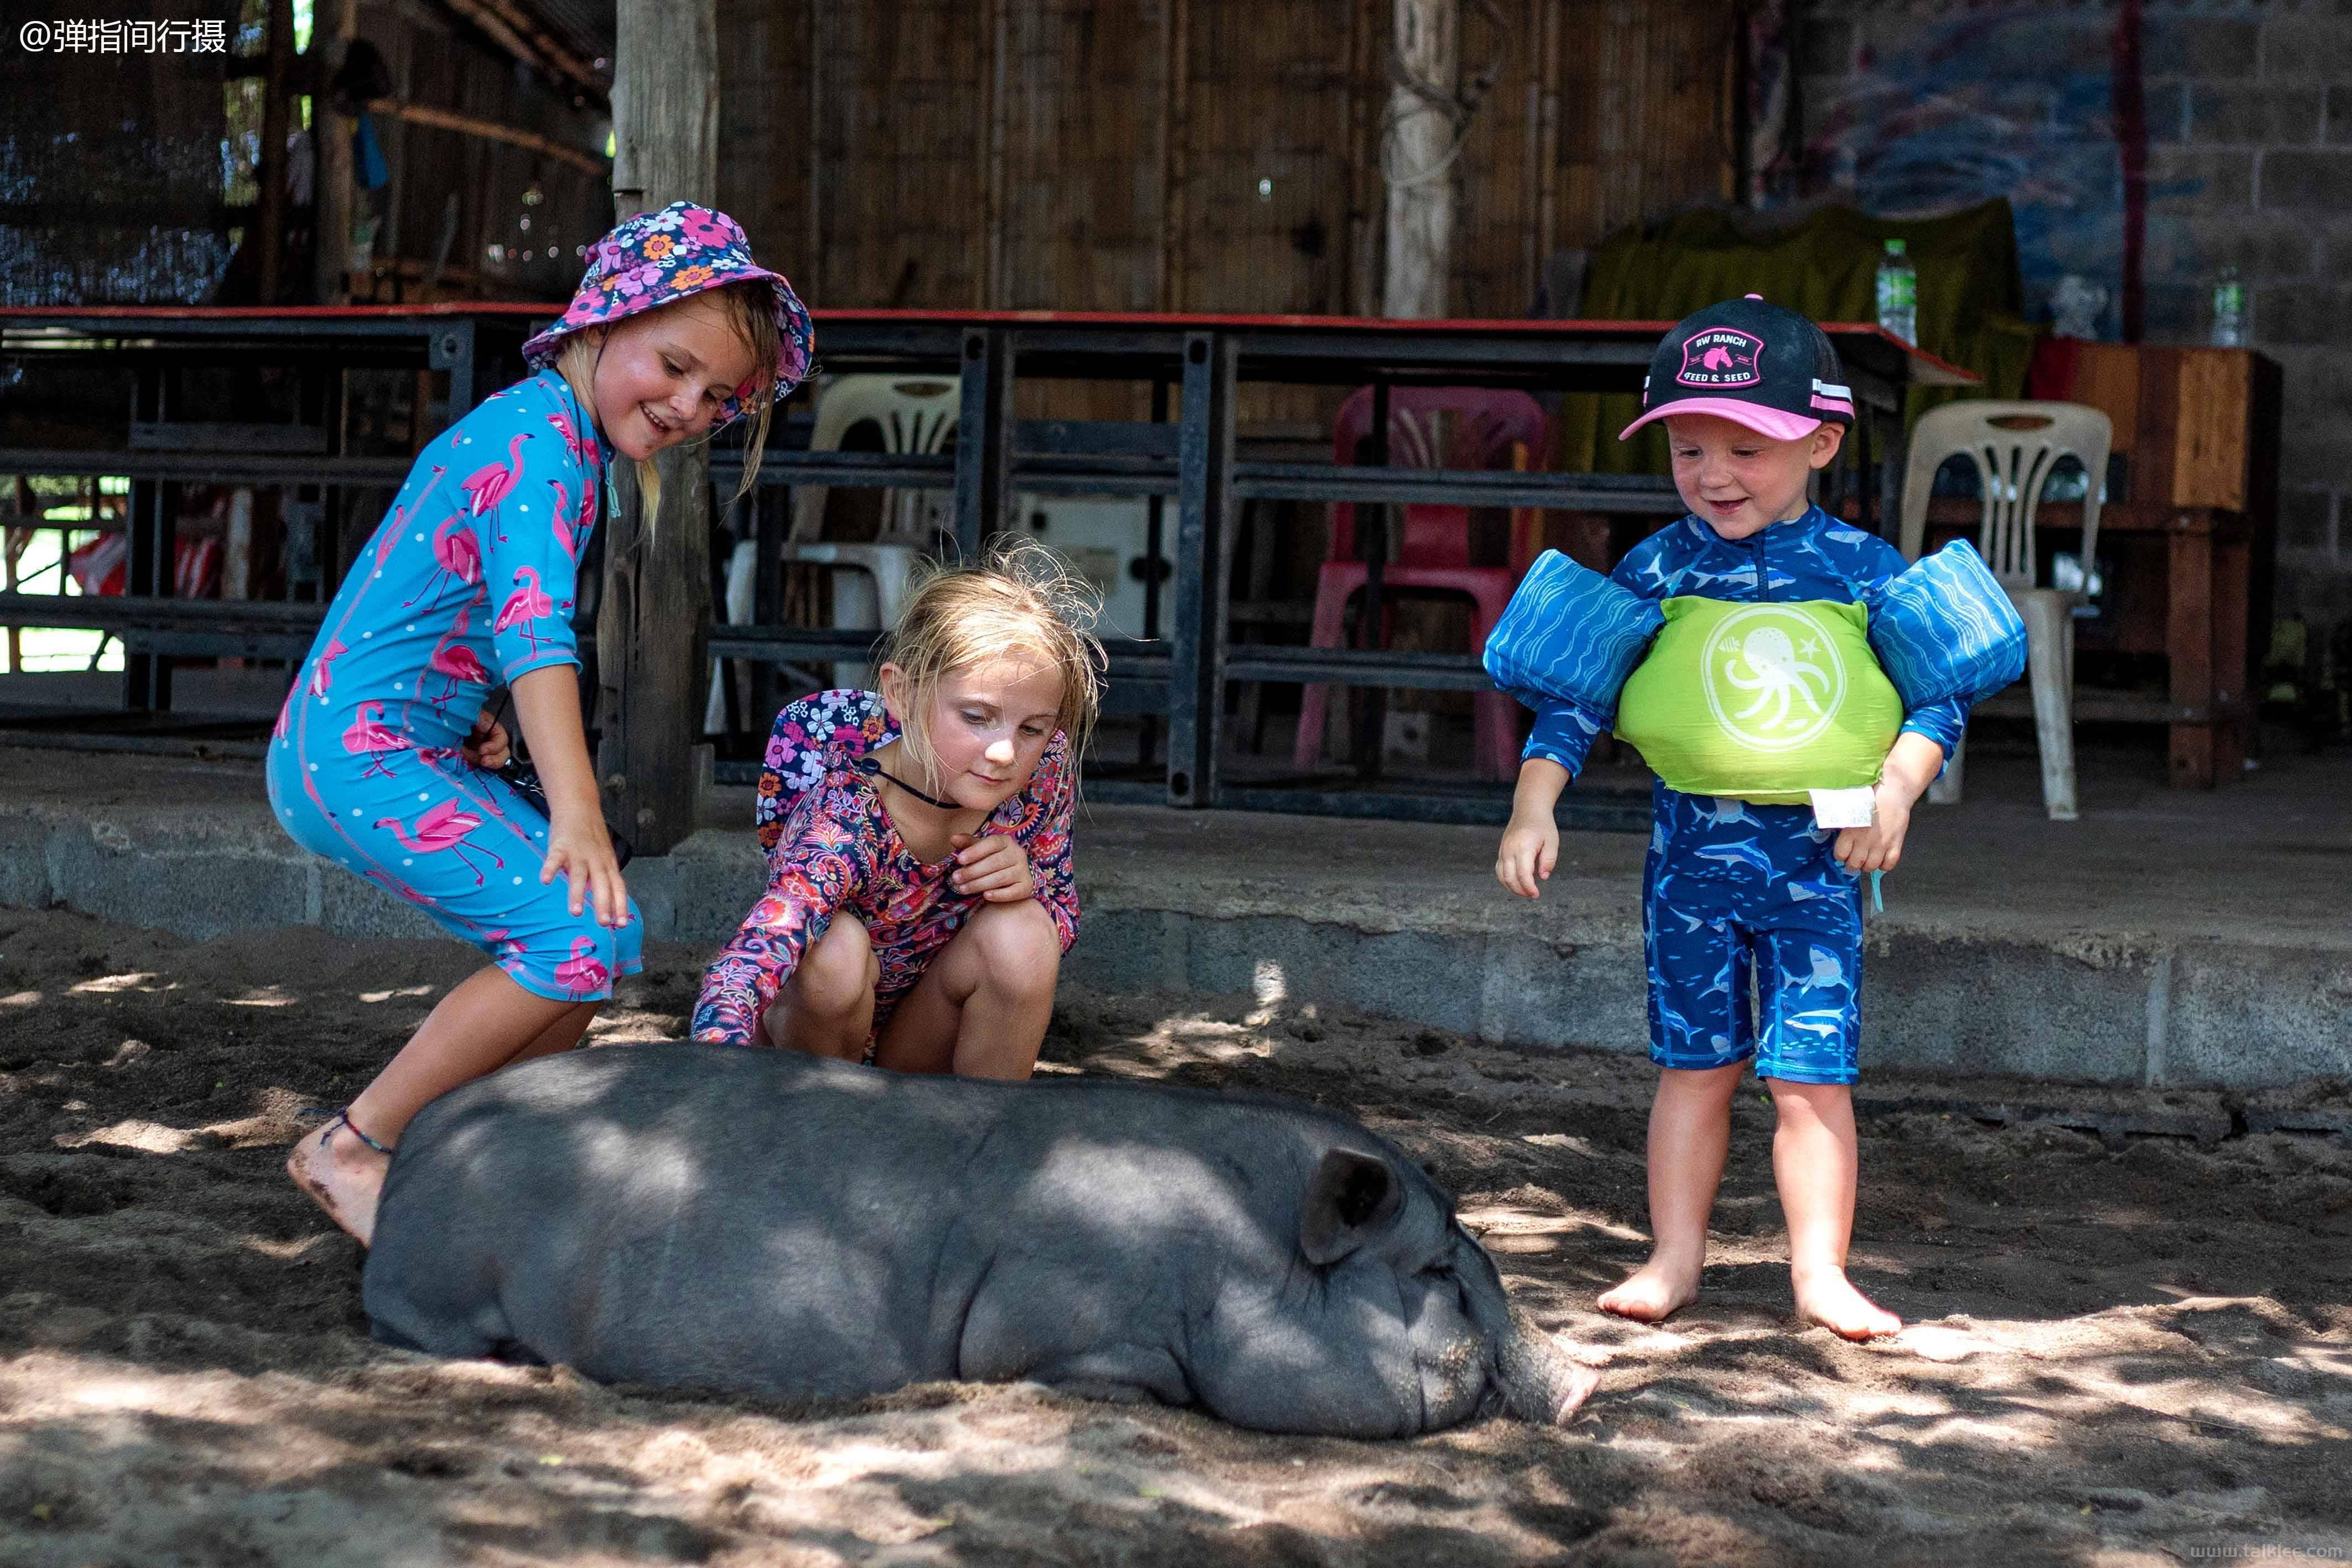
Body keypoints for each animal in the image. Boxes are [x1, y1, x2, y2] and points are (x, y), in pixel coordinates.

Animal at [362, 1048, 1599, 1439]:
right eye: (1433, 1271)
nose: (1589, 1382)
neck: (1235, 1255)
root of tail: (419, 1144)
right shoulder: (1047, 1321)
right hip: (447, 1285)